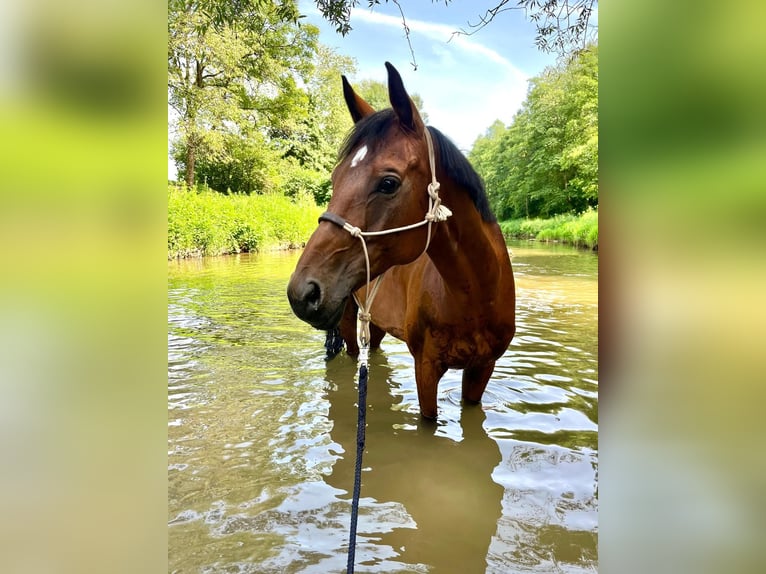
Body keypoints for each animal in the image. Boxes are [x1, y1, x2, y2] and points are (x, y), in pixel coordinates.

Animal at [287, 62, 516, 419]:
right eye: (335, 179)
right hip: (350, 325)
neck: (476, 296)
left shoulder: (482, 369)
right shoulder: (426, 368)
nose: (302, 292)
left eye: (389, 183)